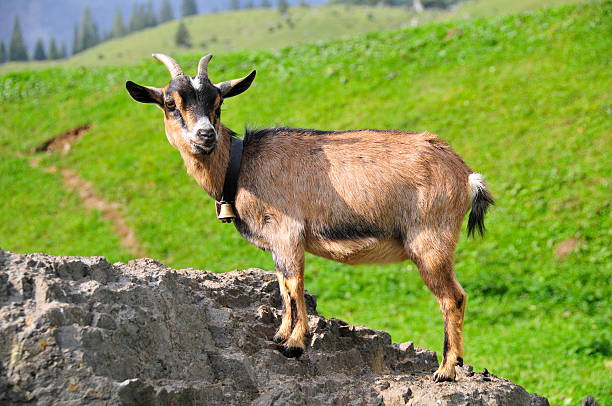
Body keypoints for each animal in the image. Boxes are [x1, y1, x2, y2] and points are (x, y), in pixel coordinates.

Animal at [124, 53, 492, 380]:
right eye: (170, 104)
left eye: (218, 104)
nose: (205, 136)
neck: (241, 166)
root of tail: (466, 176)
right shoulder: (276, 241)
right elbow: (281, 284)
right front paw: (280, 335)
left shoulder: (287, 231)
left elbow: (292, 283)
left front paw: (294, 345)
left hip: (430, 240)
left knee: (453, 297)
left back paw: (446, 370)